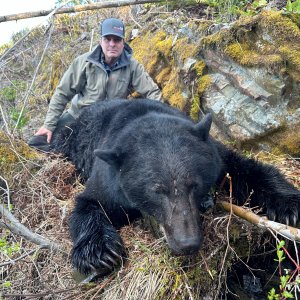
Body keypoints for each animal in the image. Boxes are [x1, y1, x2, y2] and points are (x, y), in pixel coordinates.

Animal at [51, 98, 298, 274]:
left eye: (194, 185)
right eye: (157, 191)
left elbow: (249, 169)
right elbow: (89, 203)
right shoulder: (109, 178)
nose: (187, 243)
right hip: (70, 140)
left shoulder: (217, 156)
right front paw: (100, 252)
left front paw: (290, 206)